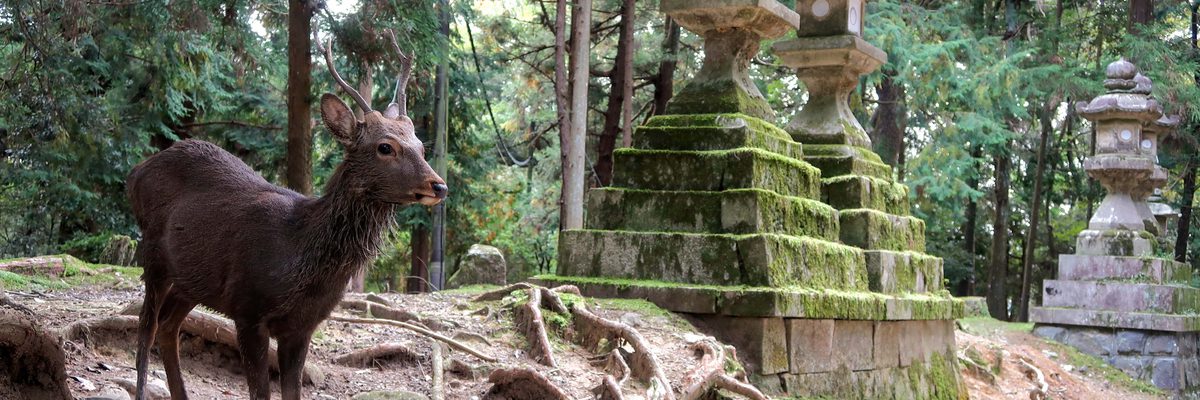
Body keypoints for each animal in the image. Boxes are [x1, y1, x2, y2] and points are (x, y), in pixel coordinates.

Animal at [125, 31, 442, 400]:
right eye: (386, 147)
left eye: (421, 146)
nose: (439, 185)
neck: (299, 259)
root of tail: (135, 172)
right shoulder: (247, 308)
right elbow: (260, 392)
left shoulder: (302, 327)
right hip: (153, 256)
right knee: (145, 331)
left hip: (192, 280)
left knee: (168, 326)